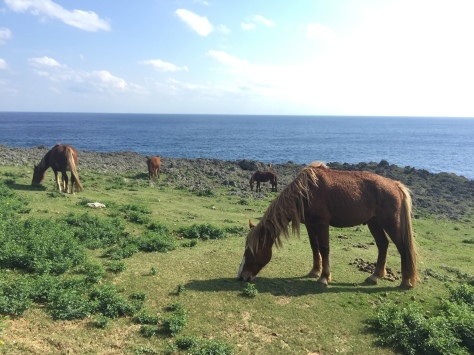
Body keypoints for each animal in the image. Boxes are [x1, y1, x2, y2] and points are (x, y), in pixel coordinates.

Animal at [237, 163, 418, 290]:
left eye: (251, 251)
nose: (242, 277)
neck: (306, 191)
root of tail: (395, 185)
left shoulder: (322, 224)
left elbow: (324, 248)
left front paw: (324, 277)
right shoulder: (310, 225)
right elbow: (314, 246)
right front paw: (315, 271)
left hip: (390, 223)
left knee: (403, 248)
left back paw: (406, 281)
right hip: (374, 222)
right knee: (383, 244)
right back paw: (375, 276)